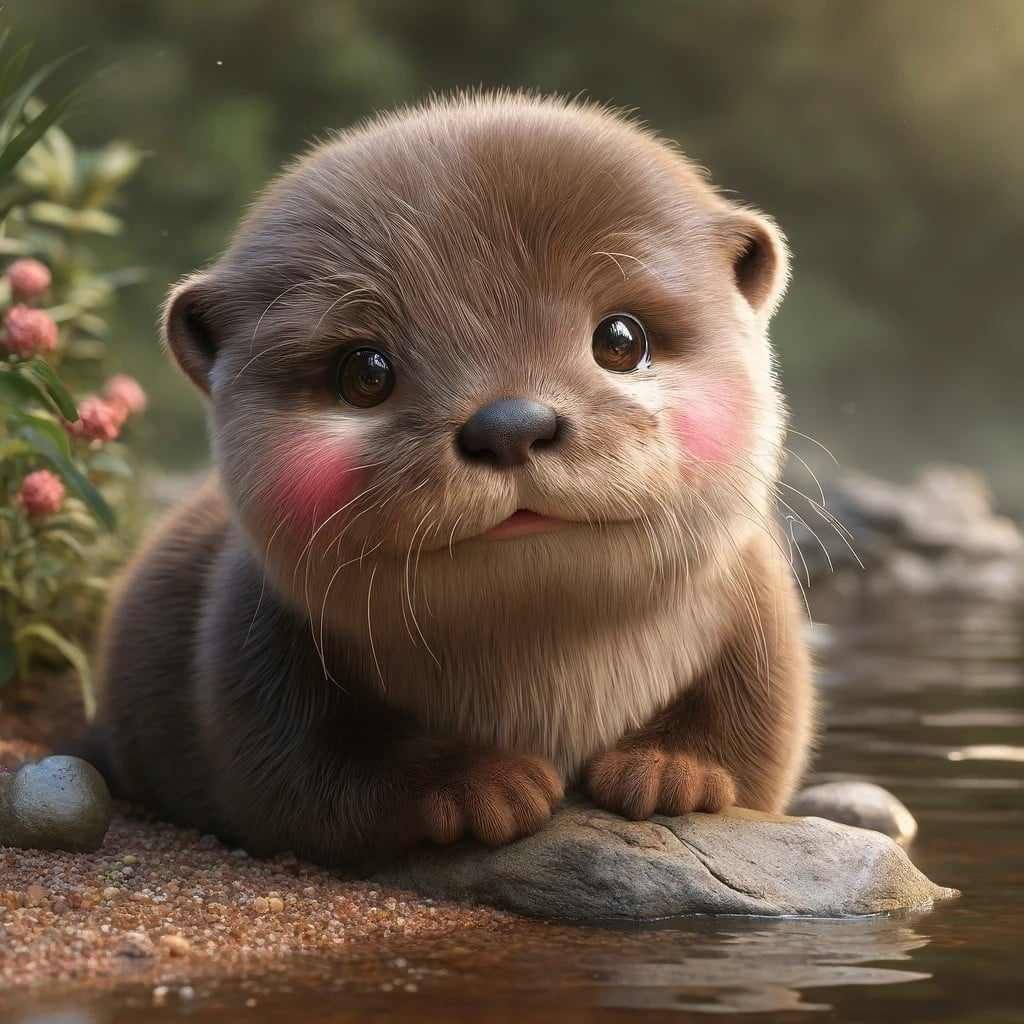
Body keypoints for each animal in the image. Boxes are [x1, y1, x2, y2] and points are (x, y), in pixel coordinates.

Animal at [82, 94, 813, 864]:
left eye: (621, 338)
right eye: (364, 372)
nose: (510, 424)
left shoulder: (758, 614)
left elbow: (750, 735)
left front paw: (671, 770)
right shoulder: (254, 652)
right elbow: (309, 779)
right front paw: (479, 786)